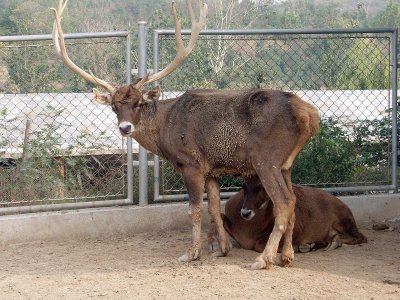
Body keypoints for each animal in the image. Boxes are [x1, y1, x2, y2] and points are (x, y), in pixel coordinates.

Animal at [51, 0, 320, 270]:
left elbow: (194, 210)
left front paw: (192, 253)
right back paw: (287, 256)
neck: (164, 129)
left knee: (283, 202)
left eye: (139, 103)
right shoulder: (212, 169)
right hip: (286, 164)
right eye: (114, 106)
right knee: (293, 200)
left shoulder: (191, 162)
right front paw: (222, 249)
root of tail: (309, 114)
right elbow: (214, 208)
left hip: (266, 158)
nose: (125, 128)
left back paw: (263, 258)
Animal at [211, 176, 368, 255]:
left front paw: (297, 247)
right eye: (243, 186)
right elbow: (220, 217)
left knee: (361, 237)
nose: (246, 212)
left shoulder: (296, 230)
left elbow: (260, 245)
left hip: (346, 221)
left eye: (262, 187)